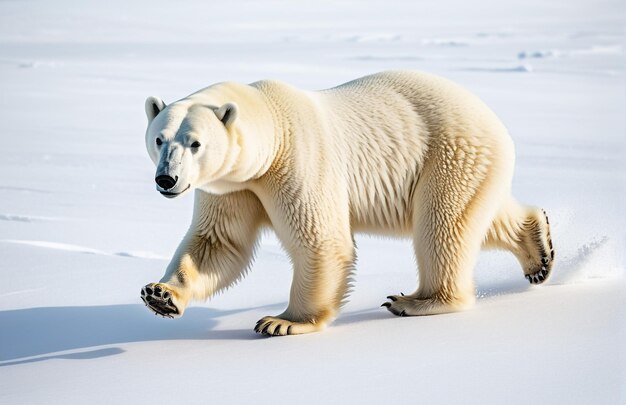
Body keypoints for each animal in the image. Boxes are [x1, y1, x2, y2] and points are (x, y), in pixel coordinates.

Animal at [140, 72, 552, 334]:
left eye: (195, 143)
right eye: (159, 139)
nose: (166, 180)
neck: (272, 129)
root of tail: (492, 118)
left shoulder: (298, 162)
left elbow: (320, 239)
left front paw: (283, 322)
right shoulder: (231, 187)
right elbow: (218, 242)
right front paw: (161, 294)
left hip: (448, 154)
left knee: (441, 226)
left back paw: (413, 301)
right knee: (480, 216)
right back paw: (540, 249)